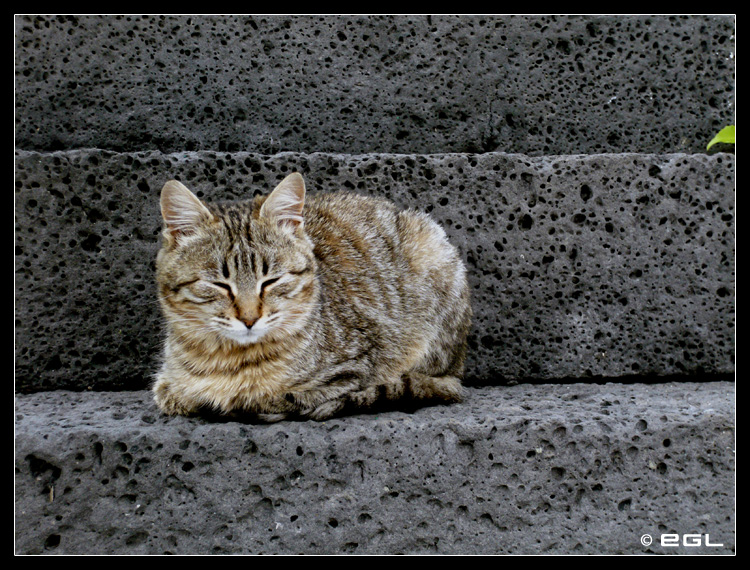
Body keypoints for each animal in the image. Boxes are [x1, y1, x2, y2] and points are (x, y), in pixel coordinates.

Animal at [153, 171, 472, 420]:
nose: (249, 319)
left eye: (271, 281)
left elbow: (271, 398)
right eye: (219, 284)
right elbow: (171, 392)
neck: (225, 358)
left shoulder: (352, 369)